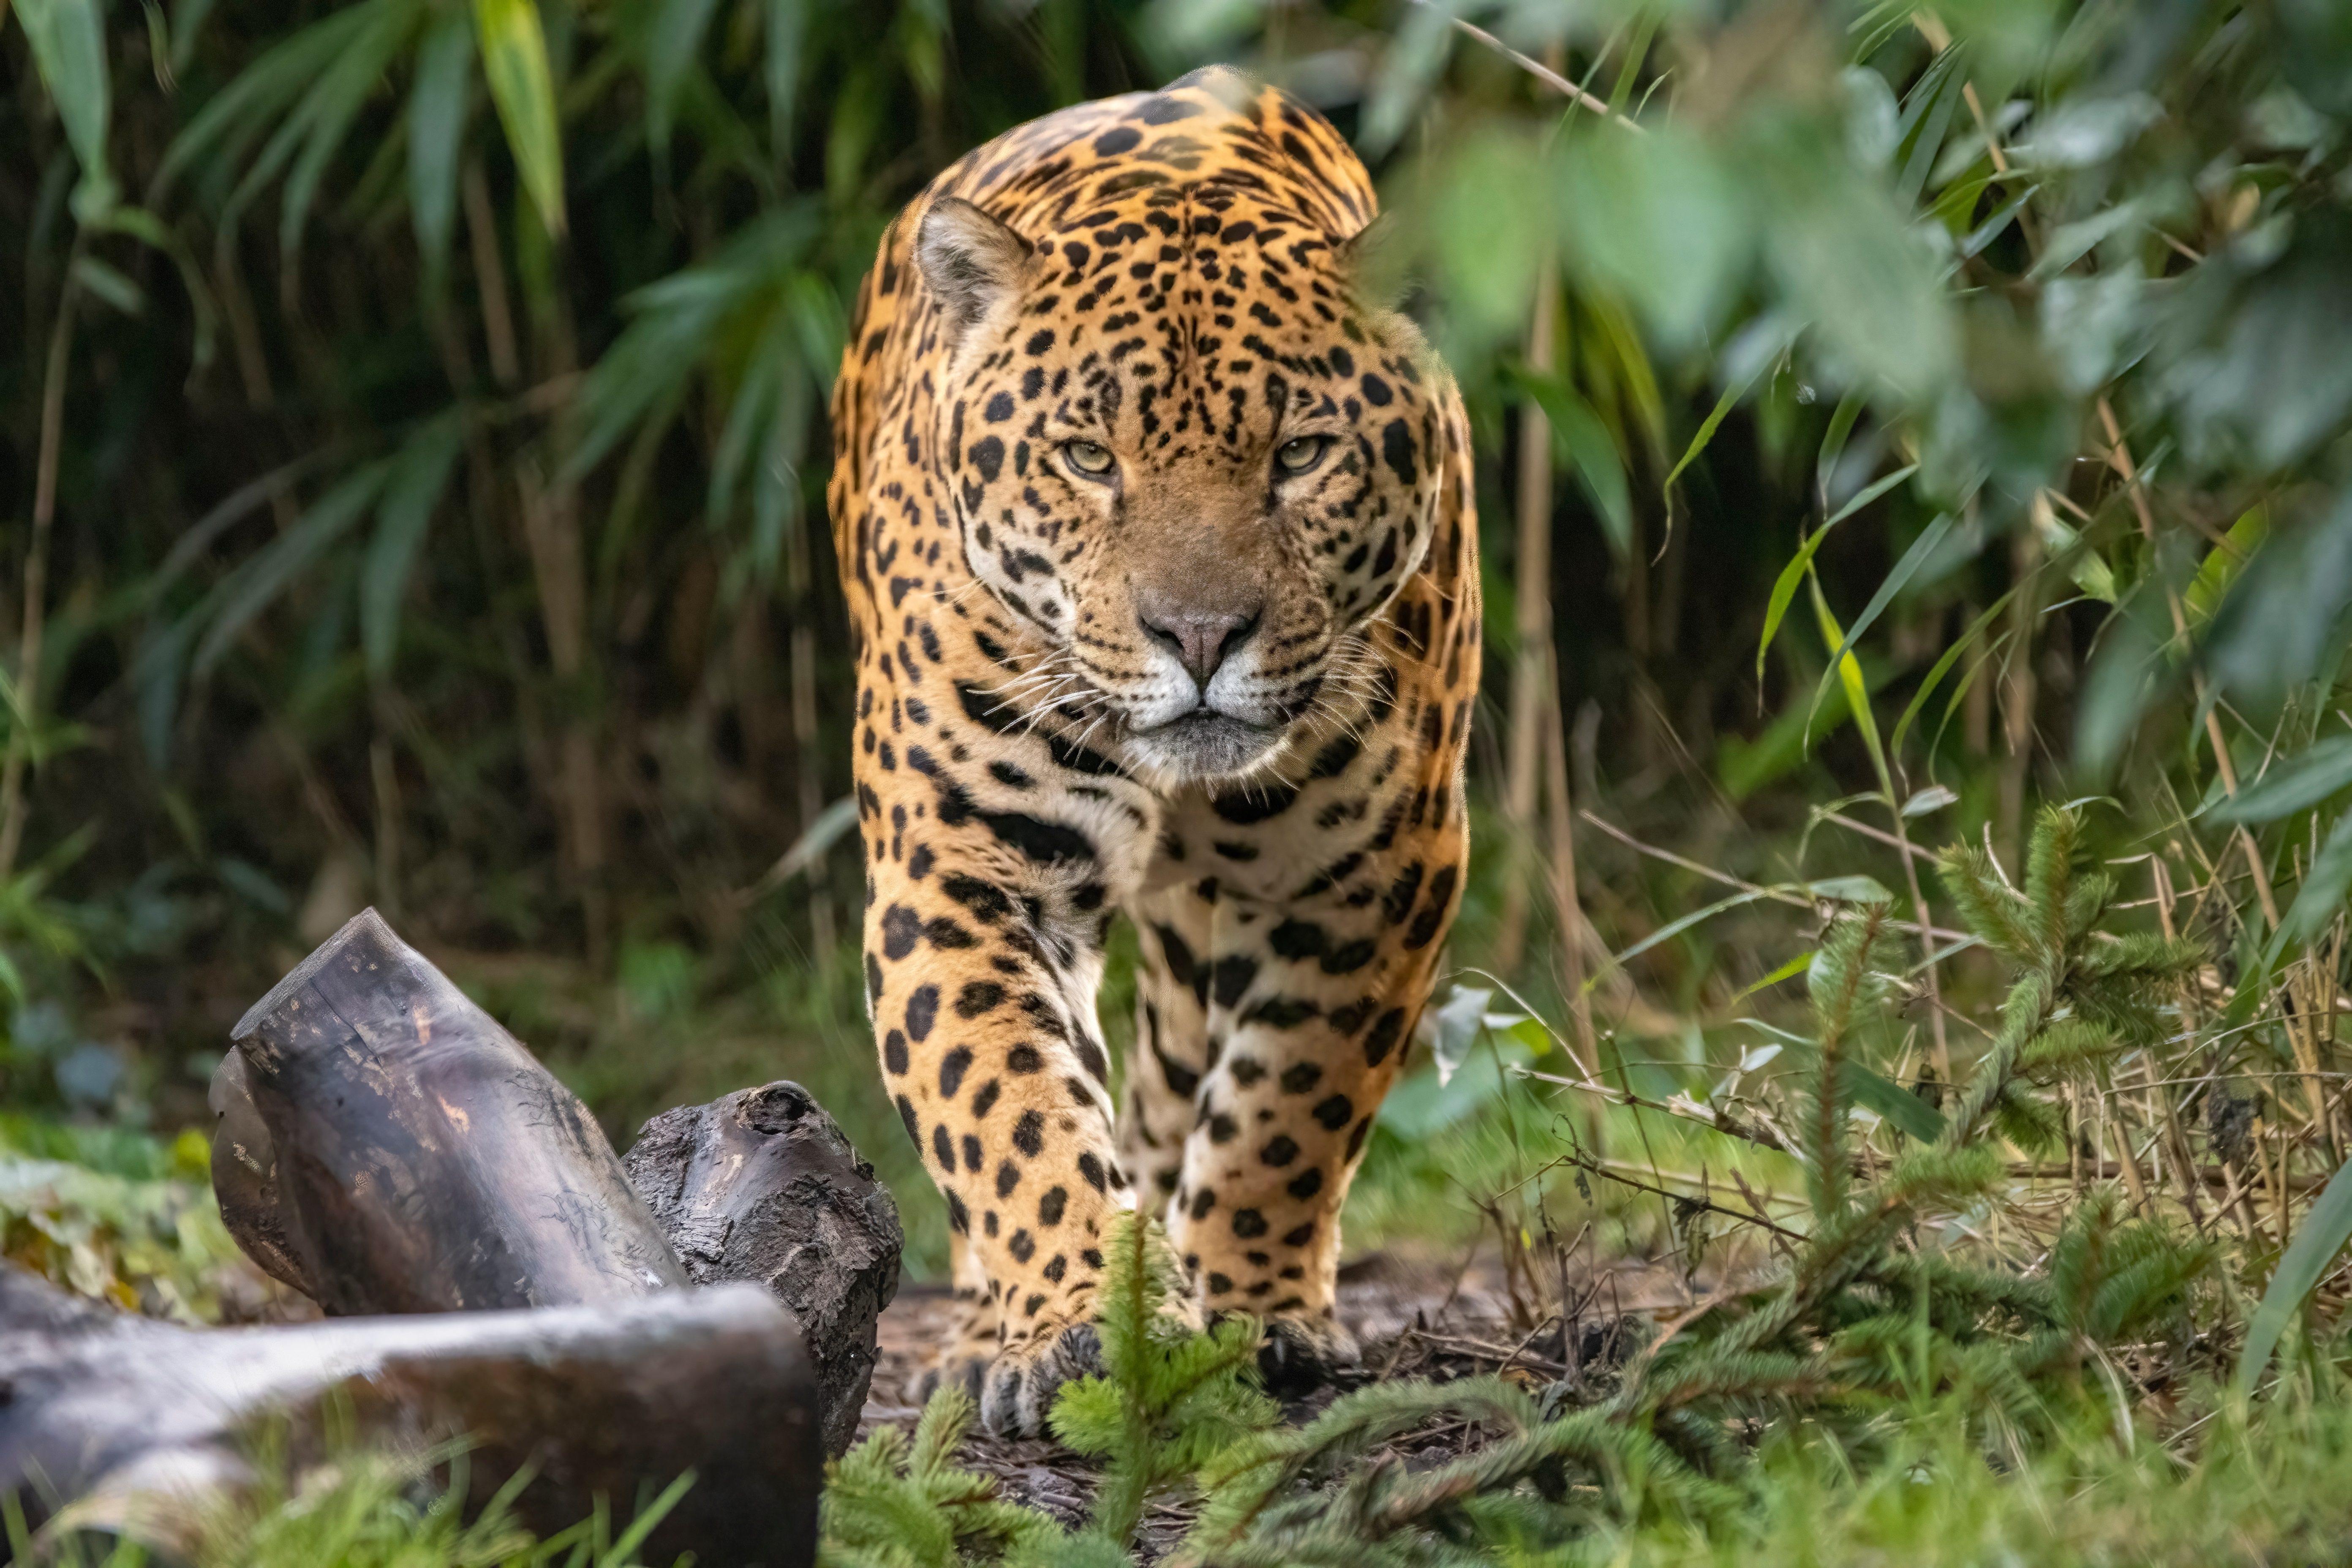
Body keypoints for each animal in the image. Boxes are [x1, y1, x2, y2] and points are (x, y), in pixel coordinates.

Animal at [826, 64, 1480, 1437]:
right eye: (1088, 457)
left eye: (1300, 454)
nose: (1198, 634)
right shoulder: (963, 869)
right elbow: (1008, 1102)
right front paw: (1082, 1322)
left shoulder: (1376, 869)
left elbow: (1291, 1100)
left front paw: (1254, 1308)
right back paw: (983, 1331)